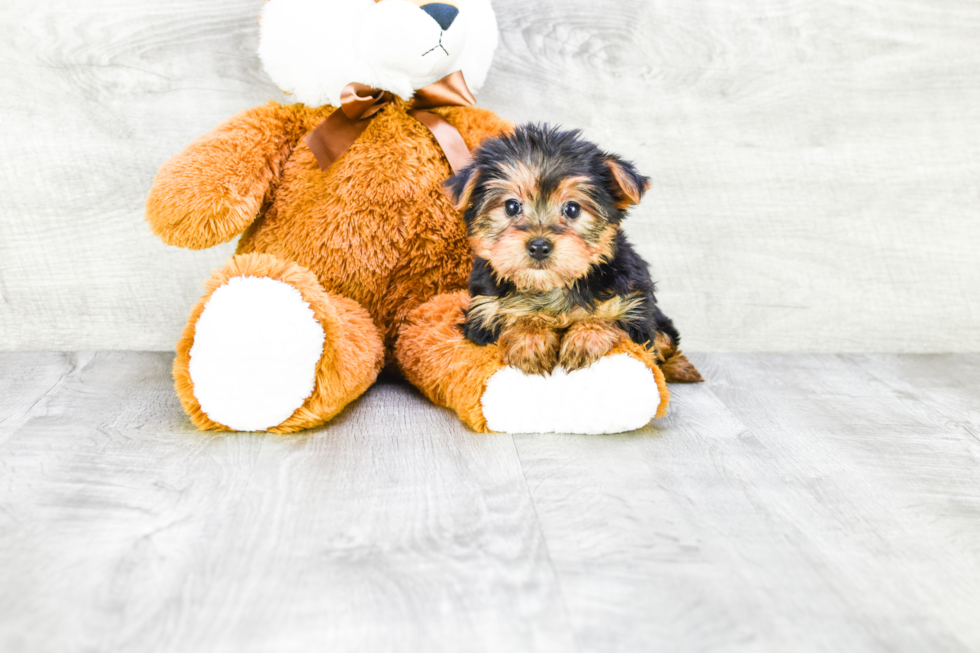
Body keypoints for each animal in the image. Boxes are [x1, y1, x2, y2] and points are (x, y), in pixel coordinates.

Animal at [448, 122, 700, 382]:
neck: (550, 287)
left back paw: (680, 367)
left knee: (664, 342)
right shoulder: (484, 312)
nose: (539, 246)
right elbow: (514, 317)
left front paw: (585, 338)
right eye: (511, 206)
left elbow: (608, 319)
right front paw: (530, 339)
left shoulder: (633, 307)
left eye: (572, 209)